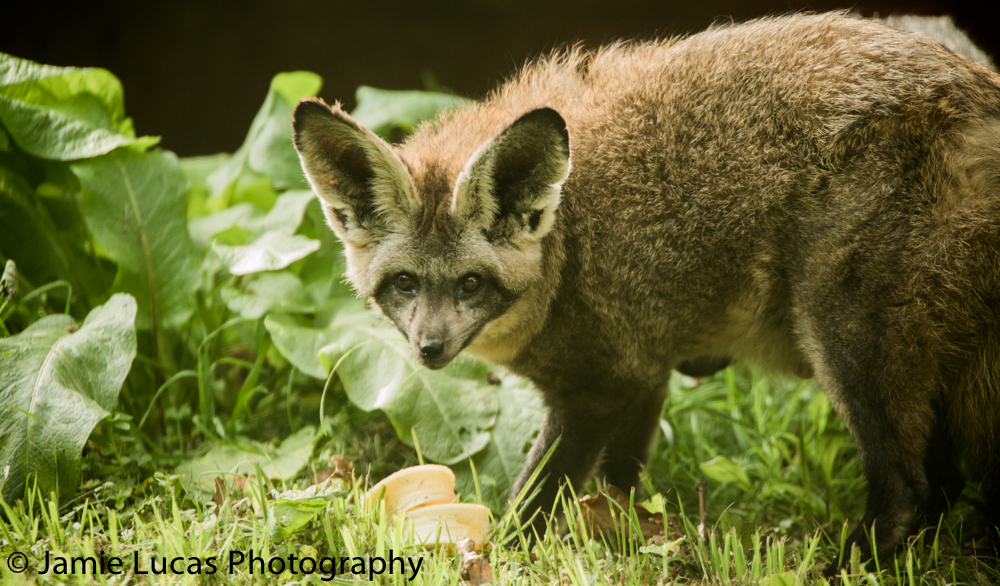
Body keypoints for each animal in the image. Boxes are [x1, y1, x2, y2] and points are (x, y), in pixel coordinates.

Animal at [292, 12, 1000, 565]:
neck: (566, 250)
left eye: (471, 284)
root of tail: (976, 86)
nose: (429, 350)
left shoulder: (601, 387)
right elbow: (620, 488)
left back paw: (846, 565)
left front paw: (500, 556)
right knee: (943, 483)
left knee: (910, 489)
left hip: (846, 342)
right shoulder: (647, 371)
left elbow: (530, 502)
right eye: (405, 285)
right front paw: (630, 541)